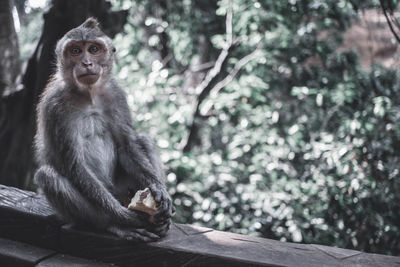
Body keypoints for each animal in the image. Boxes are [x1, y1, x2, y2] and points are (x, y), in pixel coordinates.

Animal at [35, 17, 176, 242]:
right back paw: (114, 225)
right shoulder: (55, 106)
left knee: (143, 140)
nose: (87, 63)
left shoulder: (116, 95)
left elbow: (126, 145)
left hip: (122, 187)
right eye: (75, 51)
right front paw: (126, 217)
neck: (89, 95)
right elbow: (74, 166)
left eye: (93, 49)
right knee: (47, 176)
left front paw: (158, 189)